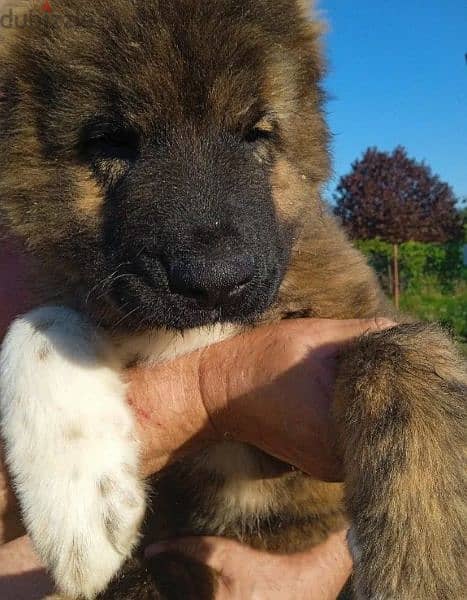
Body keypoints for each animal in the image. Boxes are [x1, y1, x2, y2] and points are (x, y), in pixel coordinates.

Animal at [0, 1, 467, 600]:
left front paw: (423, 570)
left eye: (255, 133)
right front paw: (80, 500)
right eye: (112, 140)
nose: (217, 283)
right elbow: (40, 321)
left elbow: (400, 353)